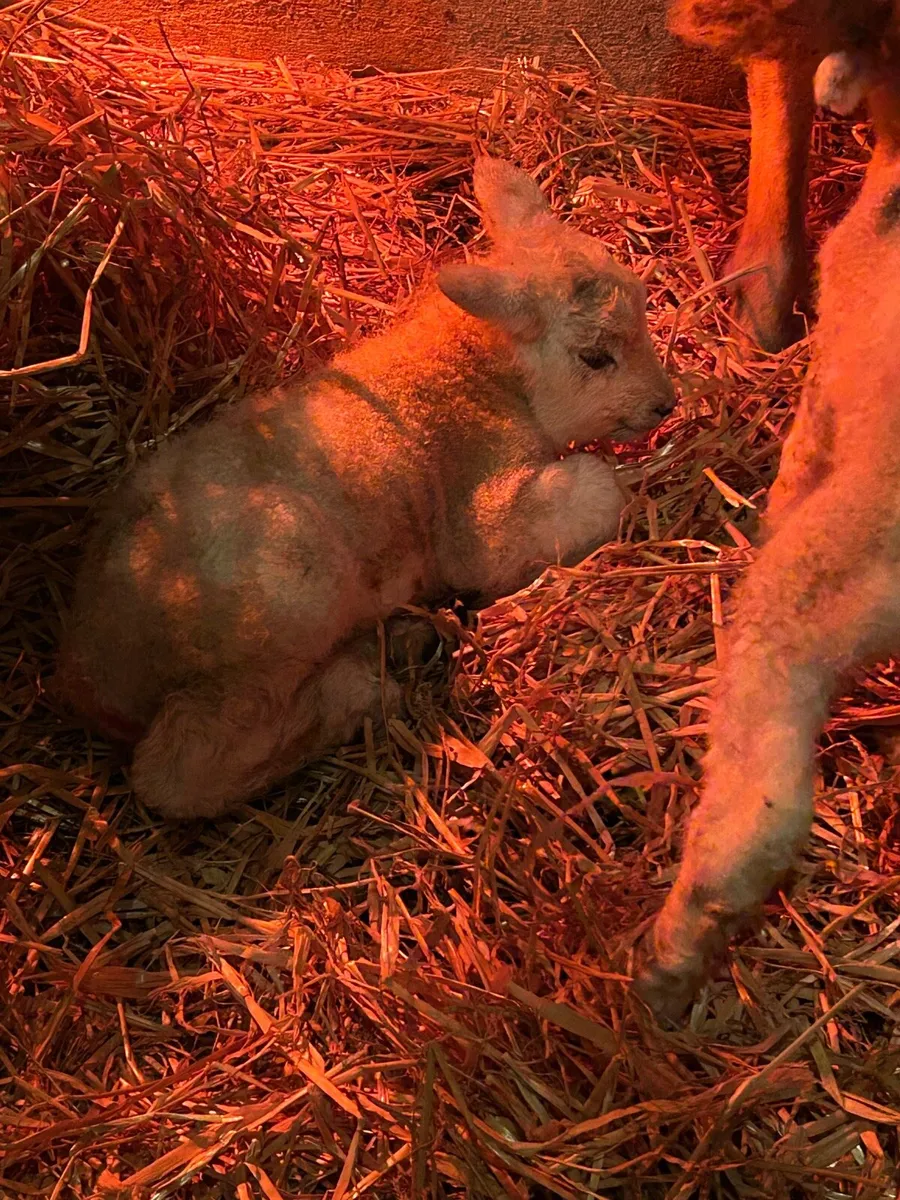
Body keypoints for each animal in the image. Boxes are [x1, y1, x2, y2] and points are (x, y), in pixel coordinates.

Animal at [53, 157, 676, 822]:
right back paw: (358, 688)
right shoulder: (475, 514)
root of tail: (89, 671)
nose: (666, 403)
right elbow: (589, 493)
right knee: (177, 772)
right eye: (595, 357)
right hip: (283, 594)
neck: (475, 365)